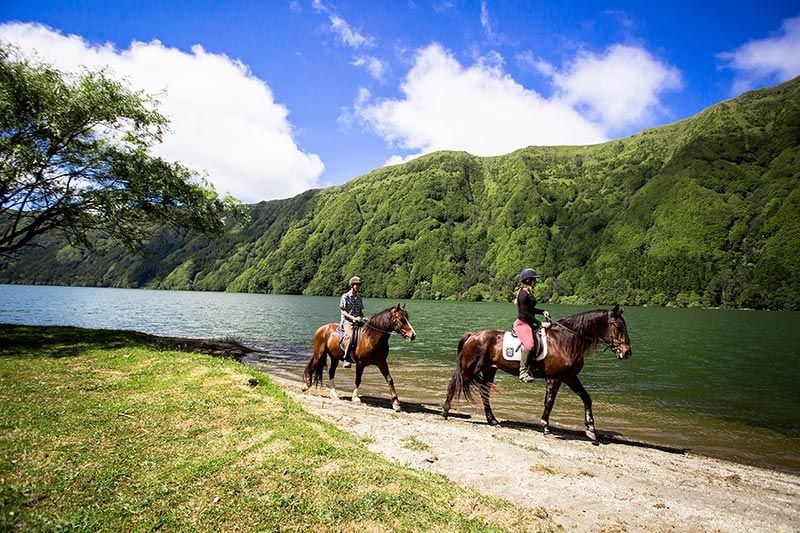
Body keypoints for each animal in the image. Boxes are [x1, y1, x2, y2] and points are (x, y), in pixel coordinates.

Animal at [444, 306, 632, 438]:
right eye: (618, 326)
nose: (627, 352)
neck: (565, 341)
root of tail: (472, 335)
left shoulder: (570, 377)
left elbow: (586, 398)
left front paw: (591, 429)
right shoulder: (555, 378)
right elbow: (549, 402)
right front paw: (546, 427)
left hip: (489, 370)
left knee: (484, 393)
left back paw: (493, 420)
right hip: (469, 368)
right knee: (453, 384)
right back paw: (445, 412)